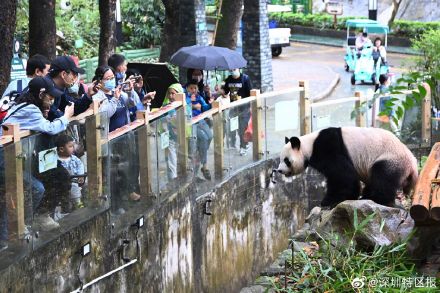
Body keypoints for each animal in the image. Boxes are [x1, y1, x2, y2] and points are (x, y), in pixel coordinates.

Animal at [276, 126, 418, 206]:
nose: (279, 170)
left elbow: (342, 174)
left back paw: (375, 198)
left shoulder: (327, 147)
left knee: (383, 177)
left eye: (286, 160)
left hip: (391, 159)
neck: (308, 144)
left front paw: (330, 200)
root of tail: (413, 166)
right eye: (280, 159)